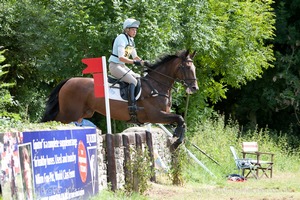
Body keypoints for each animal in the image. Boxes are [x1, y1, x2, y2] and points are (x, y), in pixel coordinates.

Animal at [40, 49, 199, 148]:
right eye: (186, 67)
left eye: (194, 68)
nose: (194, 88)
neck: (156, 86)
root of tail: (69, 81)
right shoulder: (155, 115)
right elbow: (180, 118)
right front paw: (176, 142)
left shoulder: (161, 115)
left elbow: (182, 121)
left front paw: (177, 138)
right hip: (69, 113)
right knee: (53, 121)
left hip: (81, 113)